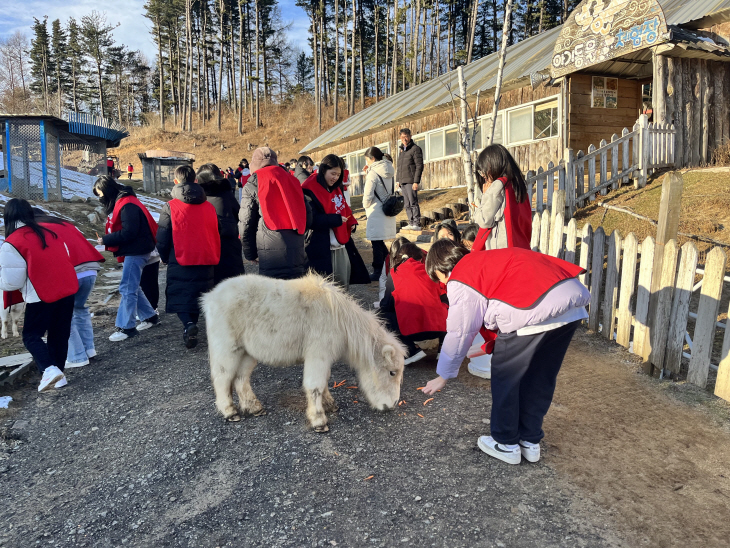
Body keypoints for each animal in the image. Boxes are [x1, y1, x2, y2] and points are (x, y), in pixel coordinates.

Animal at [202, 274, 406, 432]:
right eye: (392, 372)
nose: (392, 405)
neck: (339, 320)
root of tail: (209, 298)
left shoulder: (324, 358)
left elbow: (324, 380)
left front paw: (330, 405)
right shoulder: (318, 355)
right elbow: (315, 385)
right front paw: (319, 421)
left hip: (247, 353)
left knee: (240, 378)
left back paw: (254, 408)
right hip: (227, 349)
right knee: (222, 378)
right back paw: (230, 412)